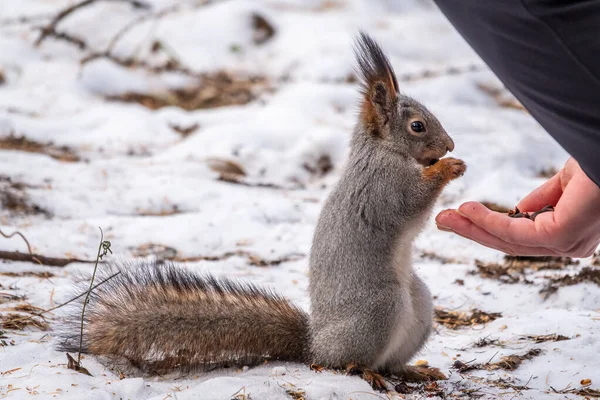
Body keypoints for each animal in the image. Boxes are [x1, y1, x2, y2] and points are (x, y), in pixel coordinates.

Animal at [56, 31, 466, 382]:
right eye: (417, 126)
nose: (449, 145)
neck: (383, 150)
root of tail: (315, 346)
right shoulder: (386, 187)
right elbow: (412, 203)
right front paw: (448, 168)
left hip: (419, 305)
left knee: (390, 363)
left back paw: (413, 371)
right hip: (379, 309)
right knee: (354, 362)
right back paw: (363, 371)